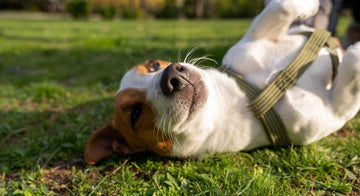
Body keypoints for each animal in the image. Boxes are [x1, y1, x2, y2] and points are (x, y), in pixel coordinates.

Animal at [85, 0, 360, 165]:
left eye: (153, 65)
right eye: (135, 114)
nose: (171, 76)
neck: (237, 102)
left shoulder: (253, 39)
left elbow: (278, 8)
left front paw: (308, 7)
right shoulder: (332, 114)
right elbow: (349, 80)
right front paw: (355, 53)